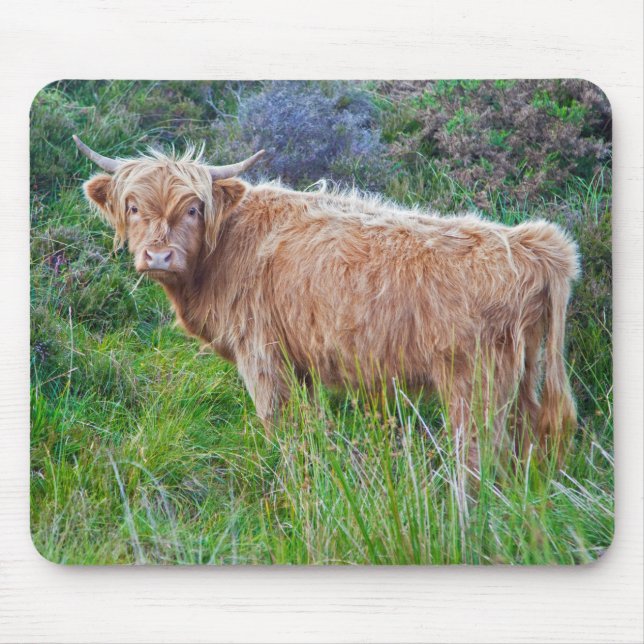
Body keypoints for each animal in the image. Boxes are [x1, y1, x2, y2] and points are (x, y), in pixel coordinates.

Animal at [73, 135, 579, 468]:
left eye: (194, 208)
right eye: (133, 207)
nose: (158, 256)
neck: (222, 251)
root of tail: (534, 244)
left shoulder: (260, 354)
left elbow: (276, 424)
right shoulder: (302, 363)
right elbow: (312, 425)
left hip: (475, 384)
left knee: (480, 456)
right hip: (524, 376)